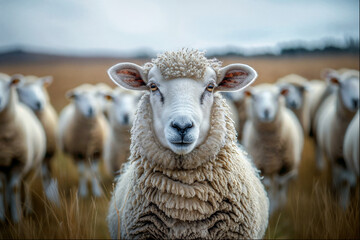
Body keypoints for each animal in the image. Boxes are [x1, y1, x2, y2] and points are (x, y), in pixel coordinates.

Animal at [0, 73, 46, 223]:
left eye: (8, 85)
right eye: (22, 91)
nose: (39, 103)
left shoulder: (19, 162)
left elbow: (14, 188)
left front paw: (17, 219)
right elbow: (1, 188)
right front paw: (1, 218)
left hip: (32, 166)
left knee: (25, 185)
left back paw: (26, 209)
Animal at [15, 74, 59, 204]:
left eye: (40, 88)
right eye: (21, 91)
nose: (39, 103)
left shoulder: (47, 156)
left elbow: (46, 178)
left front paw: (50, 200)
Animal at [242, 83, 304, 215]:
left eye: (276, 97)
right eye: (255, 98)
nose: (266, 111)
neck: (269, 146)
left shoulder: (285, 167)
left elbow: (280, 185)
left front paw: (278, 206)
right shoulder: (260, 167)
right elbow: (267, 186)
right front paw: (269, 207)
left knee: (283, 183)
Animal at [316, 68, 358, 207]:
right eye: (342, 84)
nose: (356, 101)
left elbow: (347, 181)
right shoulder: (338, 159)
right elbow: (343, 182)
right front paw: (343, 205)